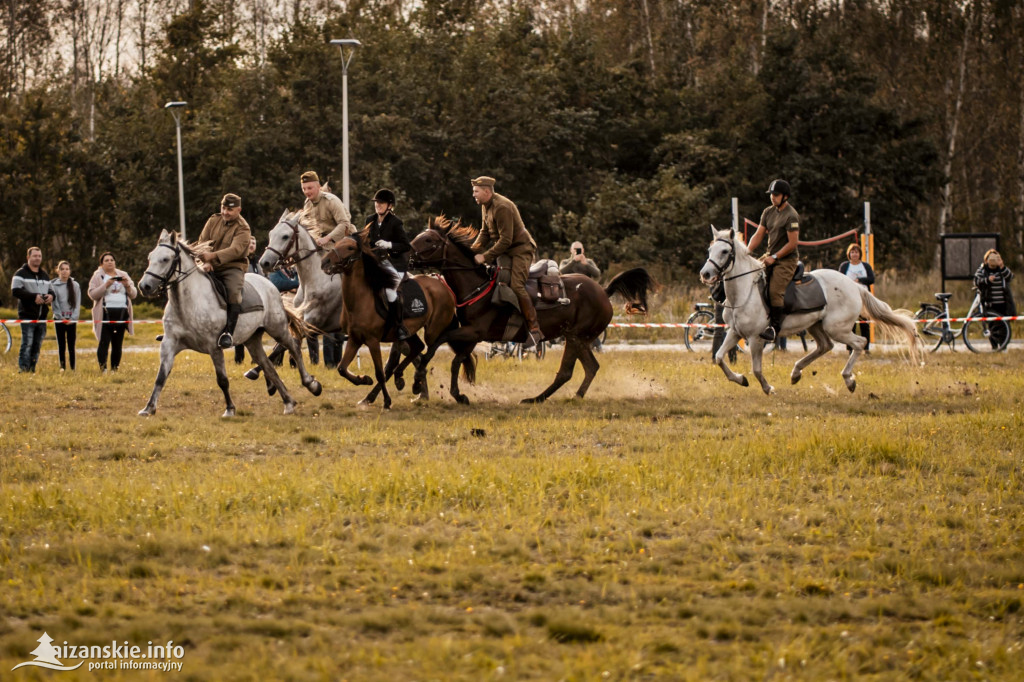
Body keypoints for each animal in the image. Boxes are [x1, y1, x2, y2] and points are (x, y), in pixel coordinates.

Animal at [136, 228, 319, 413]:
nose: (144, 286)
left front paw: (230, 409)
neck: (188, 304)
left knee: (293, 348)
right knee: (268, 365)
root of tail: (268, 283)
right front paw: (148, 408)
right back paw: (288, 402)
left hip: (277, 329)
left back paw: (312, 385)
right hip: (252, 339)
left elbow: (222, 380)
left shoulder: (214, 347)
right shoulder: (169, 344)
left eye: (165, 259)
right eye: (150, 257)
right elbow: (161, 377)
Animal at [323, 228, 456, 409]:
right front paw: (364, 379)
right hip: (409, 331)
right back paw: (401, 377)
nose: (325, 262)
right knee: (418, 347)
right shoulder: (355, 339)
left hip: (433, 330)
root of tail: (440, 282)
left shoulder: (372, 341)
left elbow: (379, 372)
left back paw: (415, 381)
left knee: (432, 347)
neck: (359, 300)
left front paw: (386, 401)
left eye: (350, 248)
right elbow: (341, 368)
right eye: (336, 243)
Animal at [407, 215, 655, 401]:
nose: (407, 255)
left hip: (577, 337)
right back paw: (561, 397)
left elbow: (439, 342)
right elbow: (456, 360)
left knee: (570, 371)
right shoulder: (470, 335)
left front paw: (418, 380)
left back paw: (540, 398)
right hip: (577, 338)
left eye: (429, 240)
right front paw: (457, 395)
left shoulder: (474, 332)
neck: (478, 286)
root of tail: (604, 291)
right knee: (587, 368)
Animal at [696, 225, 921, 393]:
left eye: (725, 251)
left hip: (836, 328)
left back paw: (848, 379)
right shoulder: (735, 332)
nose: (705, 274)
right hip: (816, 325)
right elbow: (719, 358)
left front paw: (768, 388)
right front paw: (740, 379)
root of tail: (853, 284)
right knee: (825, 346)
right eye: (709, 251)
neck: (744, 291)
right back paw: (796, 373)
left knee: (860, 342)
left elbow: (757, 369)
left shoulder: (756, 337)